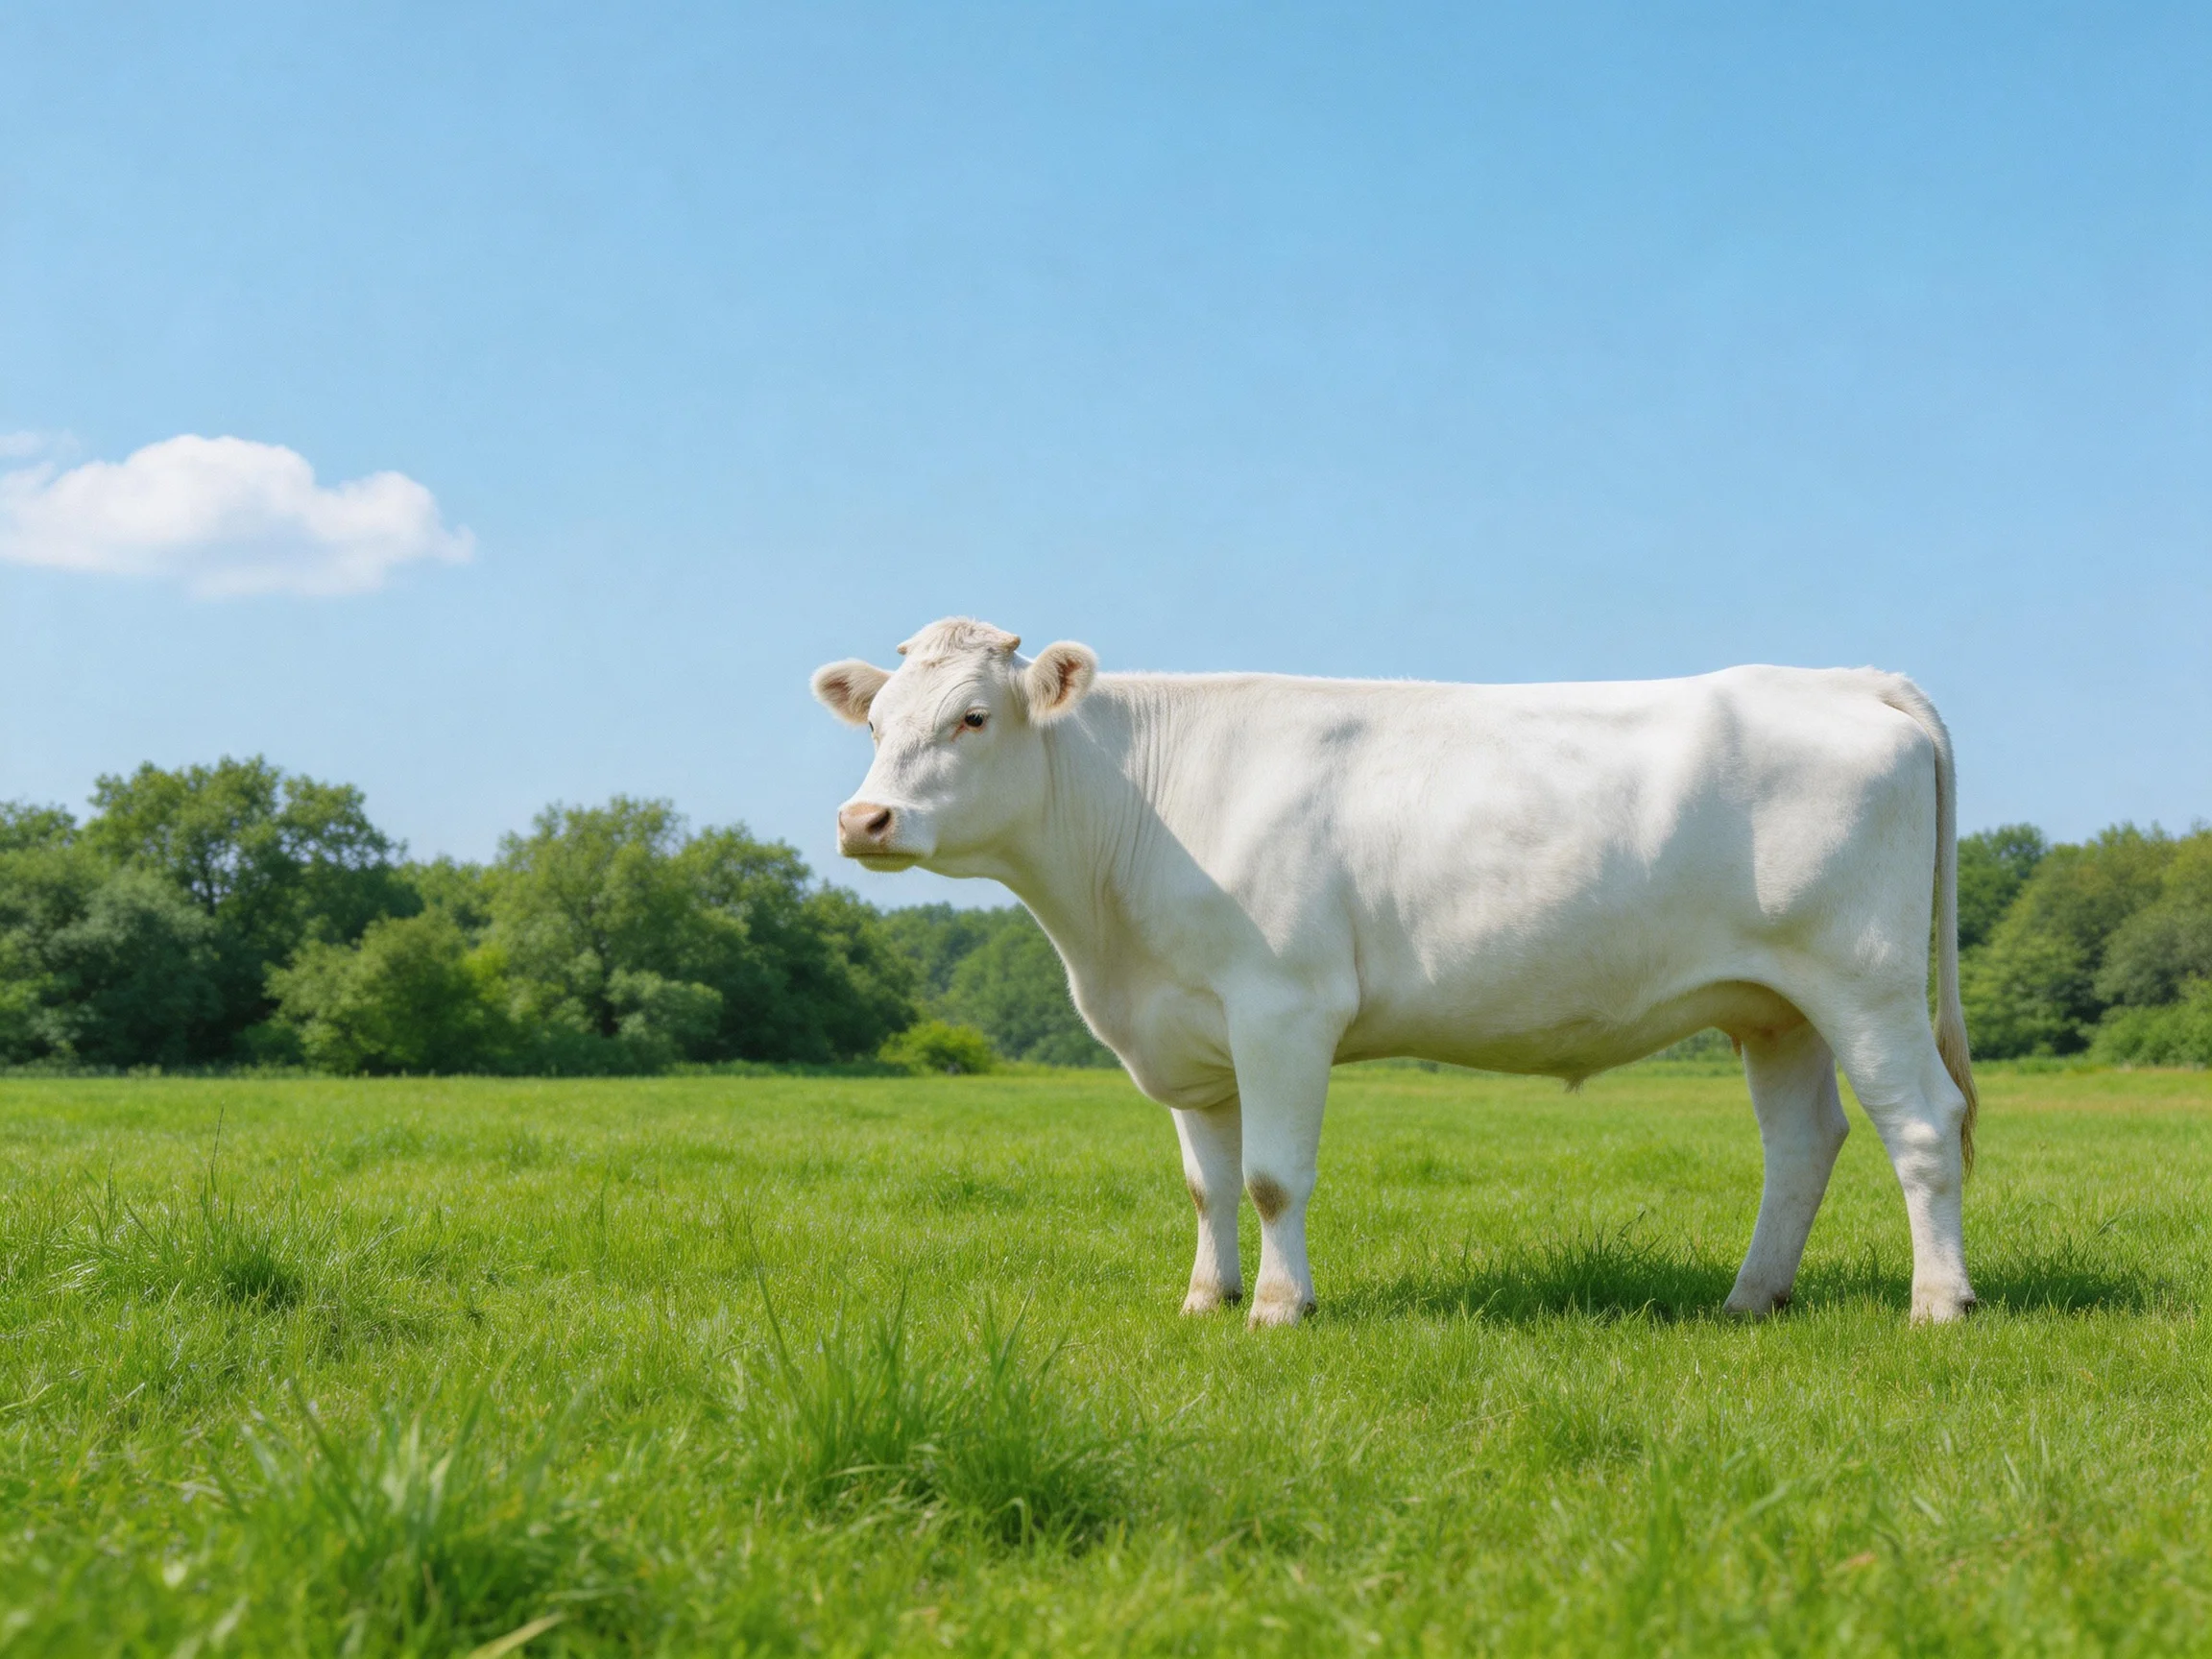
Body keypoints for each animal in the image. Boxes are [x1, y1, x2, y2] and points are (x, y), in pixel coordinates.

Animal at [812, 617, 1979, 1327]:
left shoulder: (1283, 1006)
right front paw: (1205, 1300)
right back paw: (1750, 1298)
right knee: (1804, 1142)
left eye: (973, 717)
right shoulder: (1185, 1024)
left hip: (1866, 979)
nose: (864, 820)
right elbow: (1206, 1182)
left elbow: (1272, 1177)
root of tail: (1846, 681)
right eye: (874, 723)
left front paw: (1279, 1308)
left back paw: (1939, 1302)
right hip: (1776, 1006)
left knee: (1923, 1123)